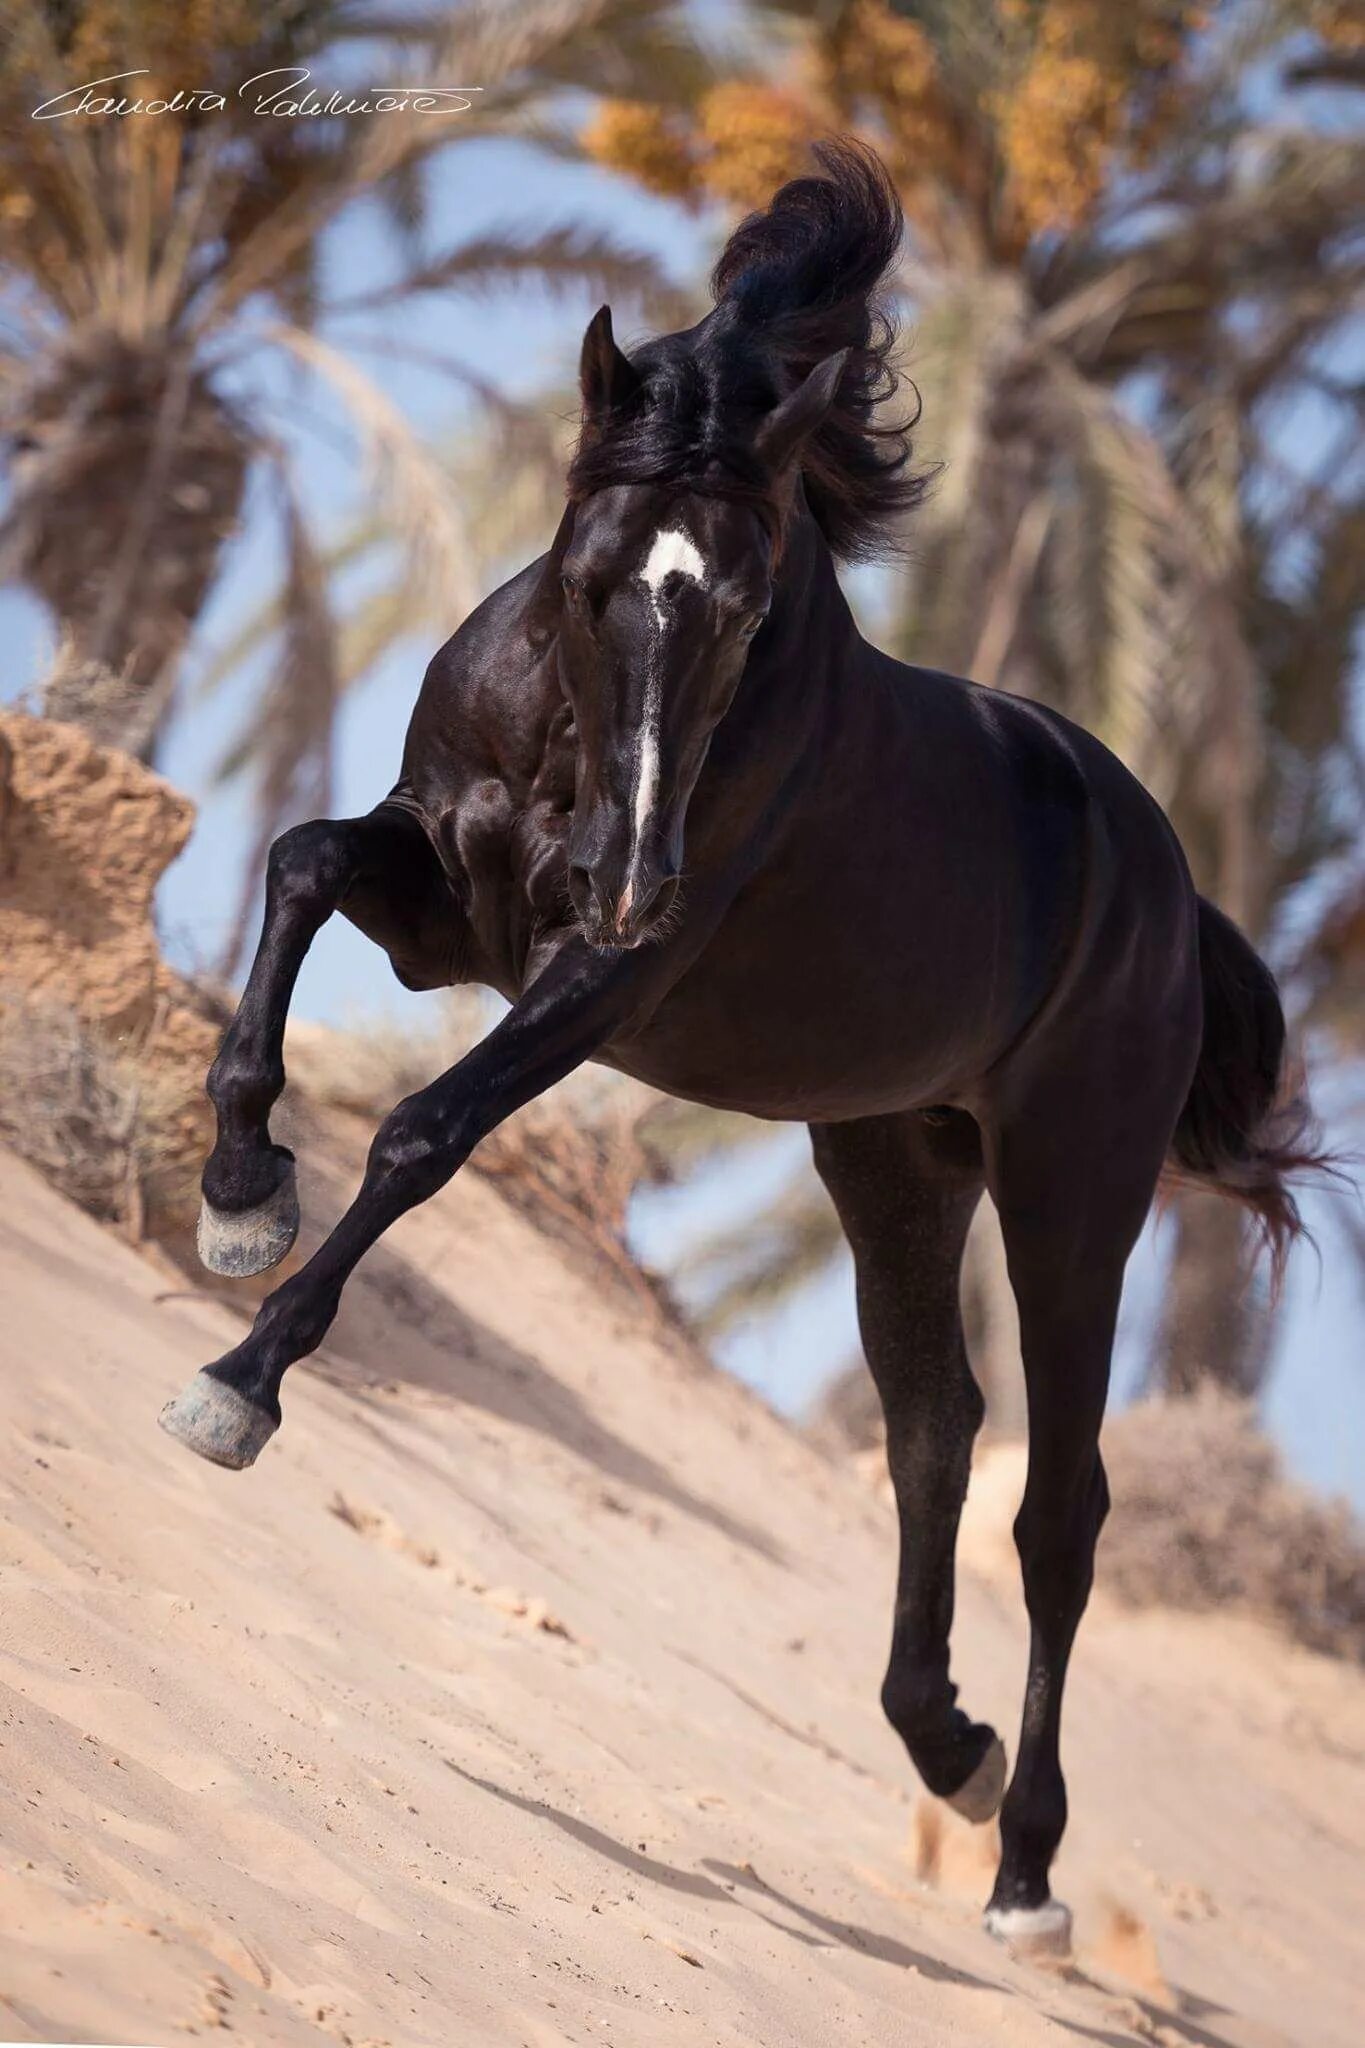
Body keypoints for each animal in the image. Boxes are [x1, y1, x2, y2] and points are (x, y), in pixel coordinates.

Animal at [162, 144, 1326, 1949]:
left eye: (747, 604)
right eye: (588, 577)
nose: (639, 872)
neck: (569, 743)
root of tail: (1169, 886)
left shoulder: (593, 985)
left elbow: (424, 1133)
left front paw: (240, 1382)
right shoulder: (446, 912)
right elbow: (294, 862)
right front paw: (236, 1194)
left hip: (1071, 1201)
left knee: (1058, 1508)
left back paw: (1023, 1869)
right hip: (893, 1159)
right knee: (933, 1428)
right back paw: (948, 1746)